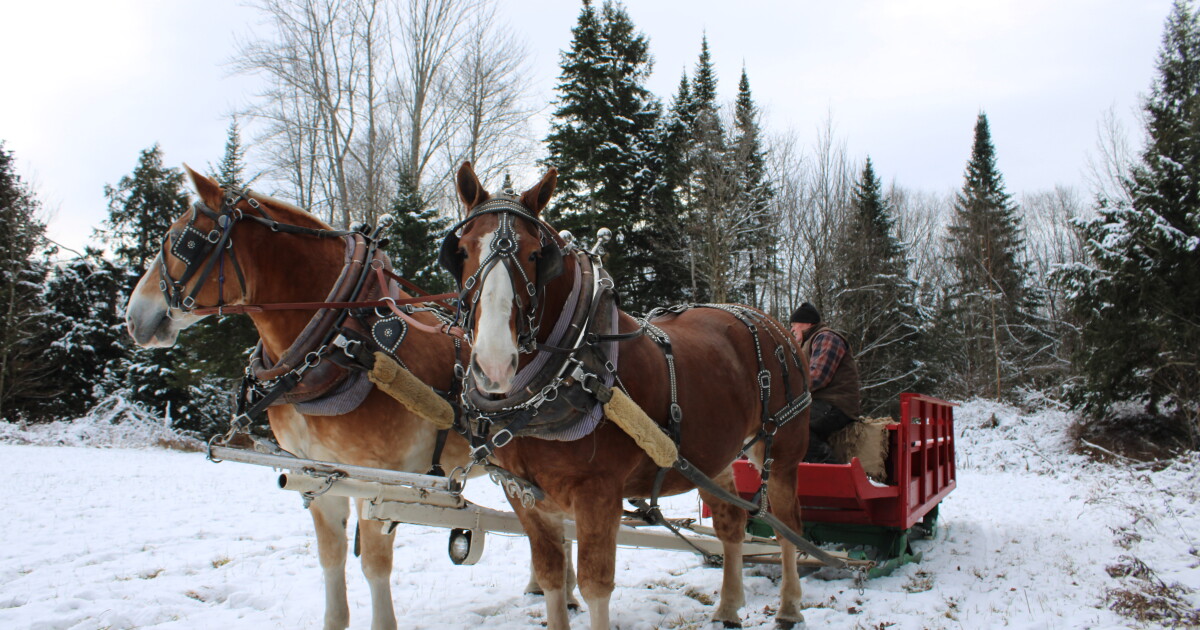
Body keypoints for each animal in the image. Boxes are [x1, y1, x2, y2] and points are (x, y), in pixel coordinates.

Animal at [124, 166, 575, 630]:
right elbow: (331, 559)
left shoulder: (378, 481)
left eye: (180, 241)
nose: (134, 317)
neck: (338, 343)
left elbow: (373, 566)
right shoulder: (319, 474)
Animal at [440, 161, 816, 629]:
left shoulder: (599, 493)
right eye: (461, 251)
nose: (493, 364)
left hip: (780, 451)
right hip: (716, 457)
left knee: (787, 524)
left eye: (534, 255)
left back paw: (789, 605)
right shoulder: (525, 497)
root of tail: (775, 326)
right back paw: (729, 606)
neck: (569, 369)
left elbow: (595, 586)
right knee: (731, 524)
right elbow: (551, 579)